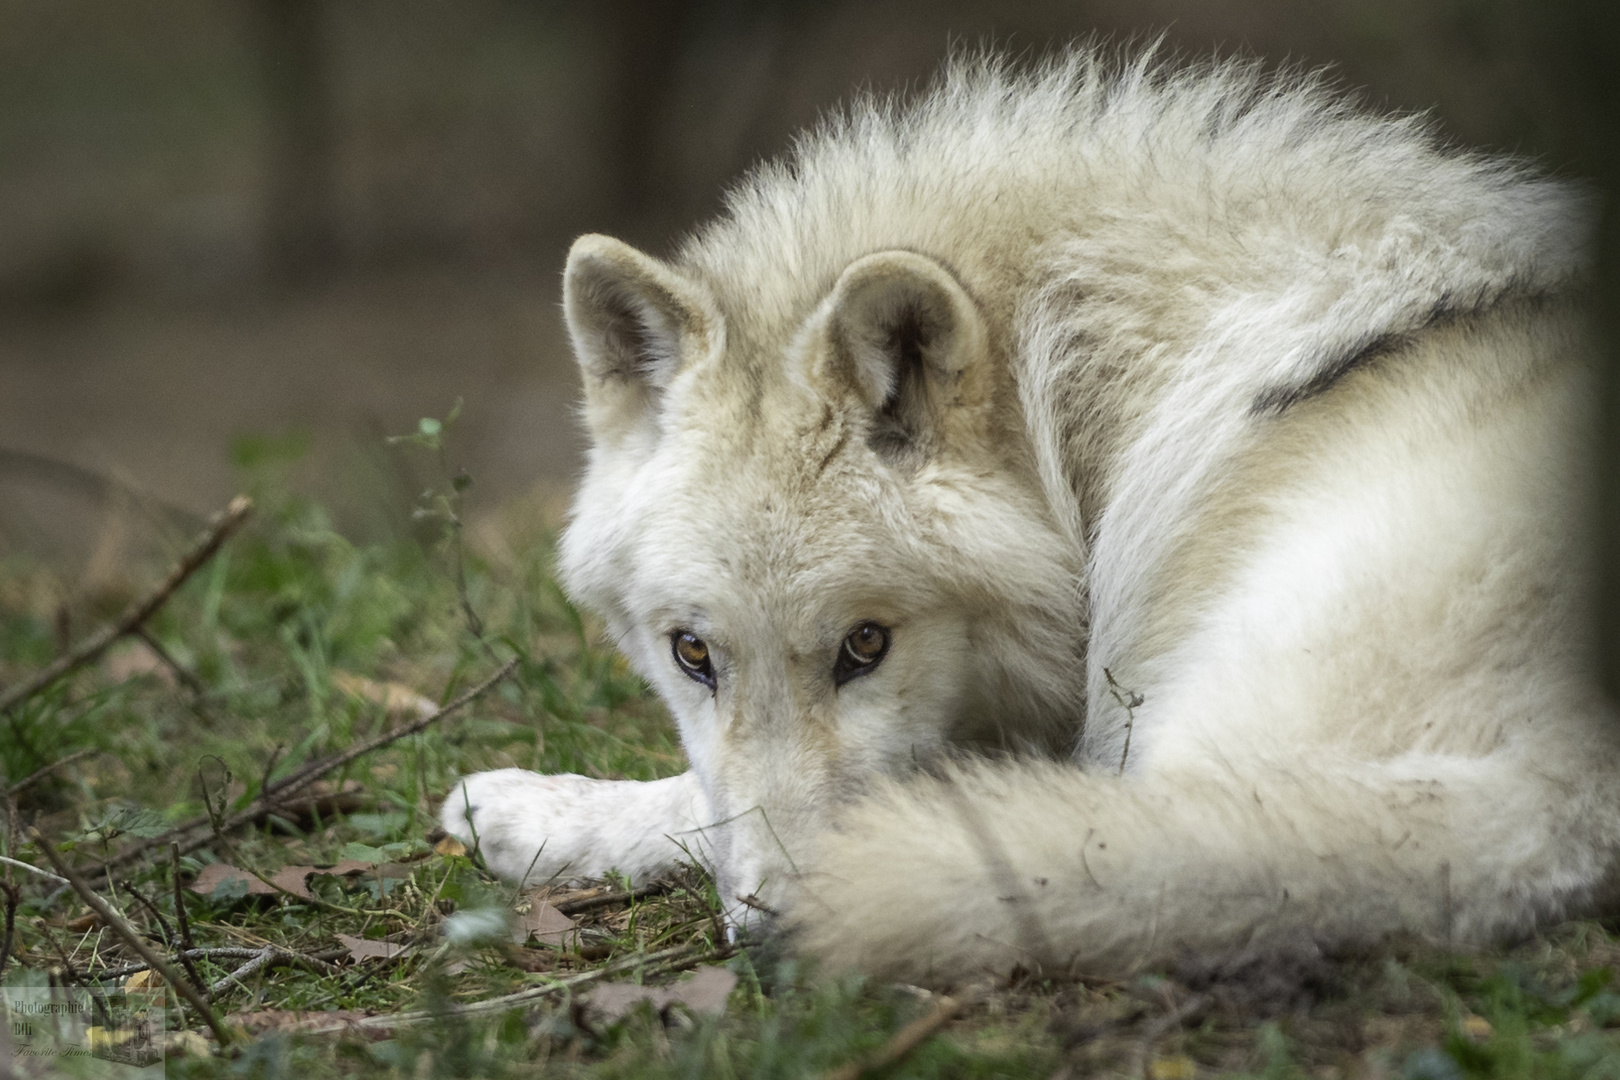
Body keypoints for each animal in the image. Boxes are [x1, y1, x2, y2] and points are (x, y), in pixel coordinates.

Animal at [443, 48, 1620, 977]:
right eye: (692, 654)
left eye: (865, 646)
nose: (776, 940)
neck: (1093, 401)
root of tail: (1574, 791)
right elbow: (716, 788)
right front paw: (527, 812)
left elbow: (722, 801)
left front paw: (537, 812)